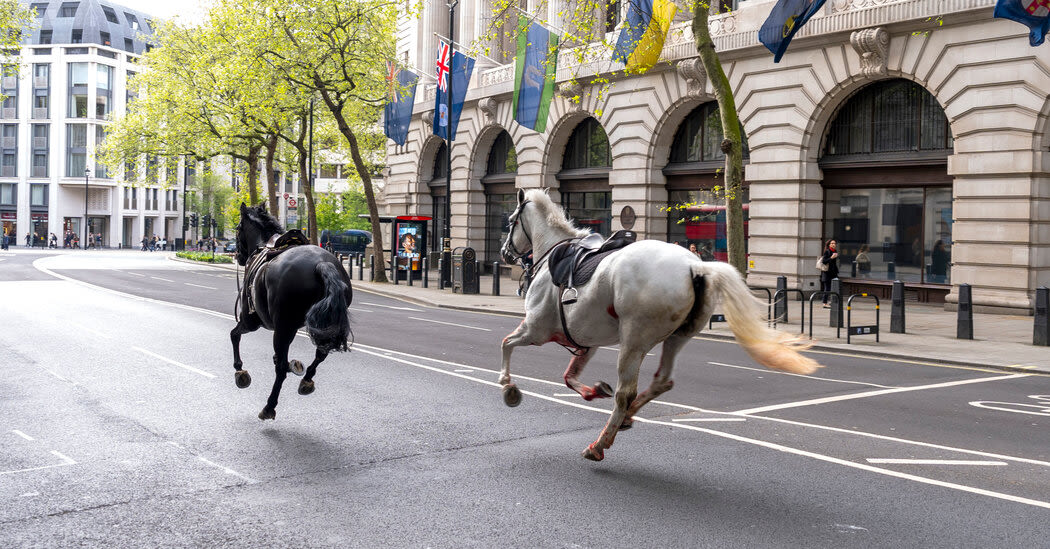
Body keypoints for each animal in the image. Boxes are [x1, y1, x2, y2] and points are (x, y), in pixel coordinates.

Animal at [230, 202, 352, 421]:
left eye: (237, 228)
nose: (239, 256)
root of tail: (322, 264)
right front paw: (294, 365)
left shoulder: (251, 321)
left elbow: (234, 335)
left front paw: (240, 371)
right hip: (321, 324)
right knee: (321, 353)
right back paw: (306, 380)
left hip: (281, 327)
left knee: (280, 370)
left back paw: (269, 406)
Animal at [497, 188, 818, 459]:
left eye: (511, 221)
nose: (504, 253)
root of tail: (696, 265)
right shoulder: (586, 341)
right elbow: (569, 376)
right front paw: (593, 390)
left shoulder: (536, 329)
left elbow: (506, 343)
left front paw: (508, 386)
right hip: (677, 336)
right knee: (661, 381)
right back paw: (626, 418)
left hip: (634, 340)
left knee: (626, 392)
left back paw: (600, 443)